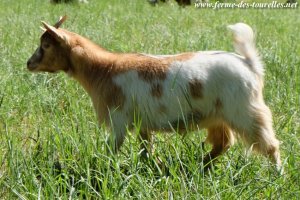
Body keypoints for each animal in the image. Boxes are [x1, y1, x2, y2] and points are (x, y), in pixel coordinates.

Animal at [27, 16, 282, 171]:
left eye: (46, 46)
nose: (29, 63)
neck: (104, 69)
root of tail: (249, 63)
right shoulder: (142, 123)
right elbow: (145, 149)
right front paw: (156, 166)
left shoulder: (118, 120)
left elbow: (112, 149)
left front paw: (99, 168)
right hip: (217, 116)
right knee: (222, 144)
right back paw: (198, 167)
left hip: (246, 113)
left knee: (270, 146)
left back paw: (277, 174)